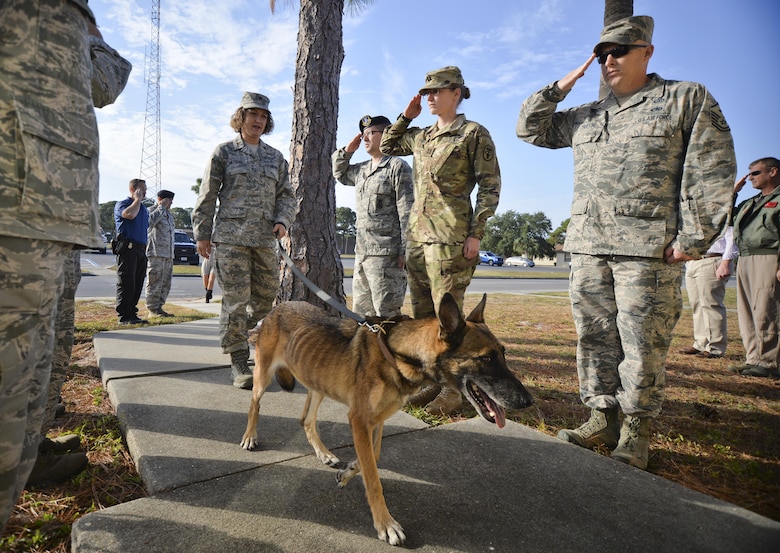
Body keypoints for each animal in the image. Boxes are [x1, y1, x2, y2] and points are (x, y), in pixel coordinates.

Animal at [238, 294, 532, 544]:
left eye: (503, 354)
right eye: (487, 359)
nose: (527, 401)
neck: (398, 354)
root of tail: (277, 308)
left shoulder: (376, 420)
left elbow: (374, 456)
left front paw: (349, 472)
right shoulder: (359, 420)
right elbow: (373, 478)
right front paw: (385, 524)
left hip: (317, 381)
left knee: (306, 419)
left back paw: (324, 453)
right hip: (264, 377)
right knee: (254, 404)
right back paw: (250, 436)